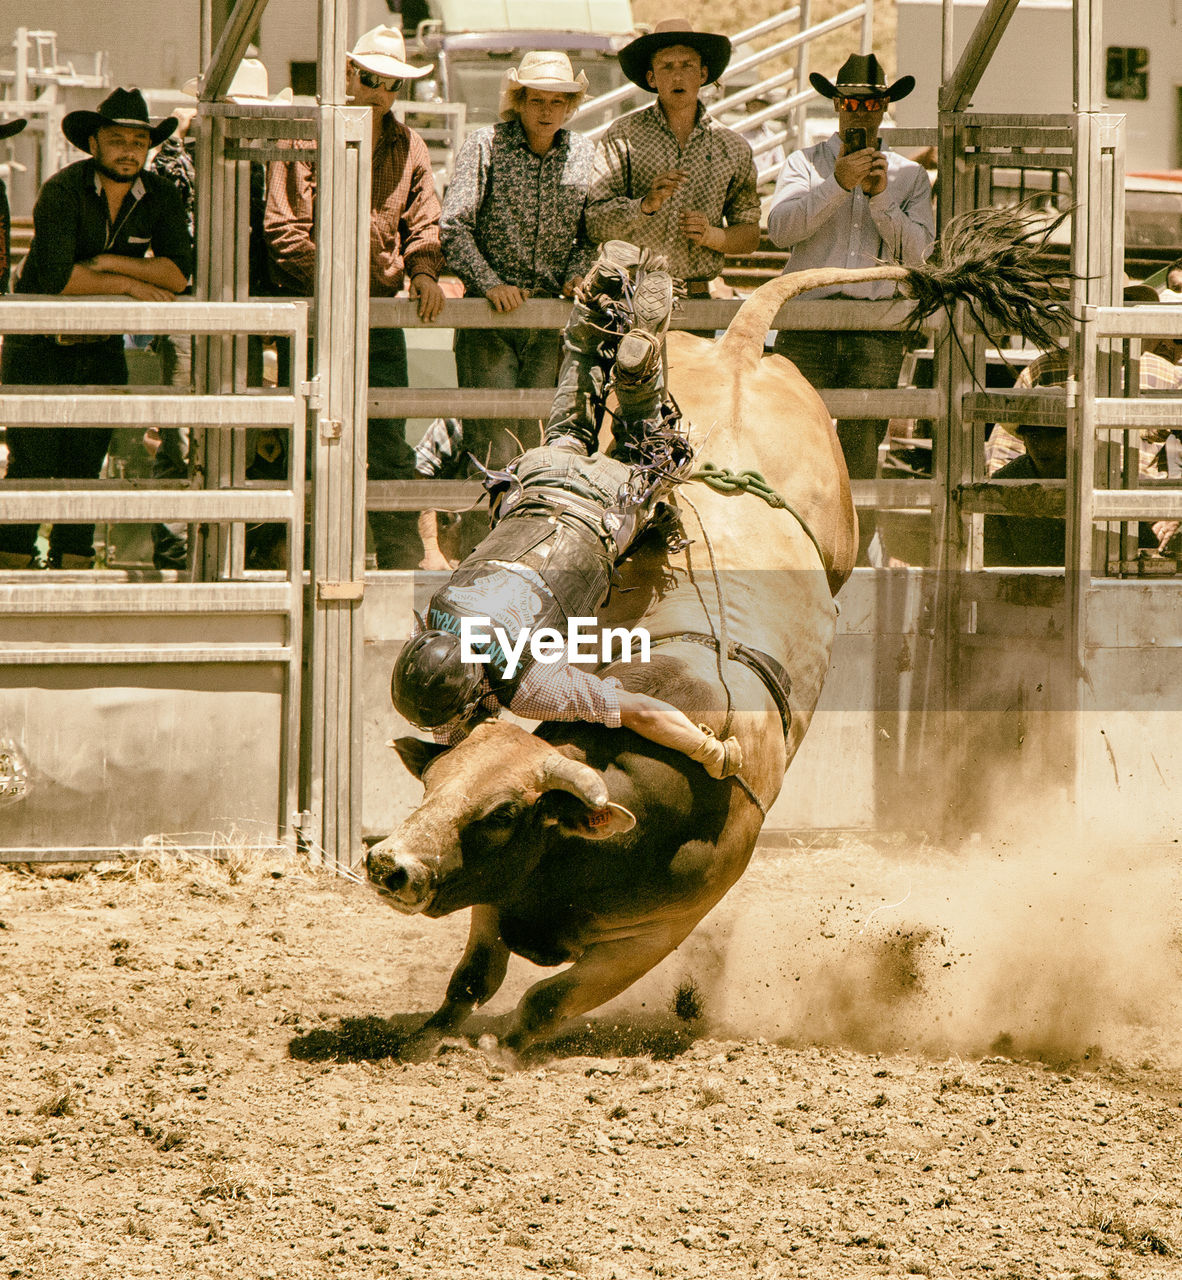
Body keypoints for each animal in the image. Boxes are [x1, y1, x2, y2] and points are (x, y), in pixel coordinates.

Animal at [366, 204, 1065, 1054]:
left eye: (501, 815)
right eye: (433, 784)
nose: (390, 864)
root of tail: (741, 354)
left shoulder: (655, 934)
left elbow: (543, 1001)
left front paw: (502, 1050)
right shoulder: (500, 901)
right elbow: (472, 978)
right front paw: (426, 1038)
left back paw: (624, 309)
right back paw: (620, 303)